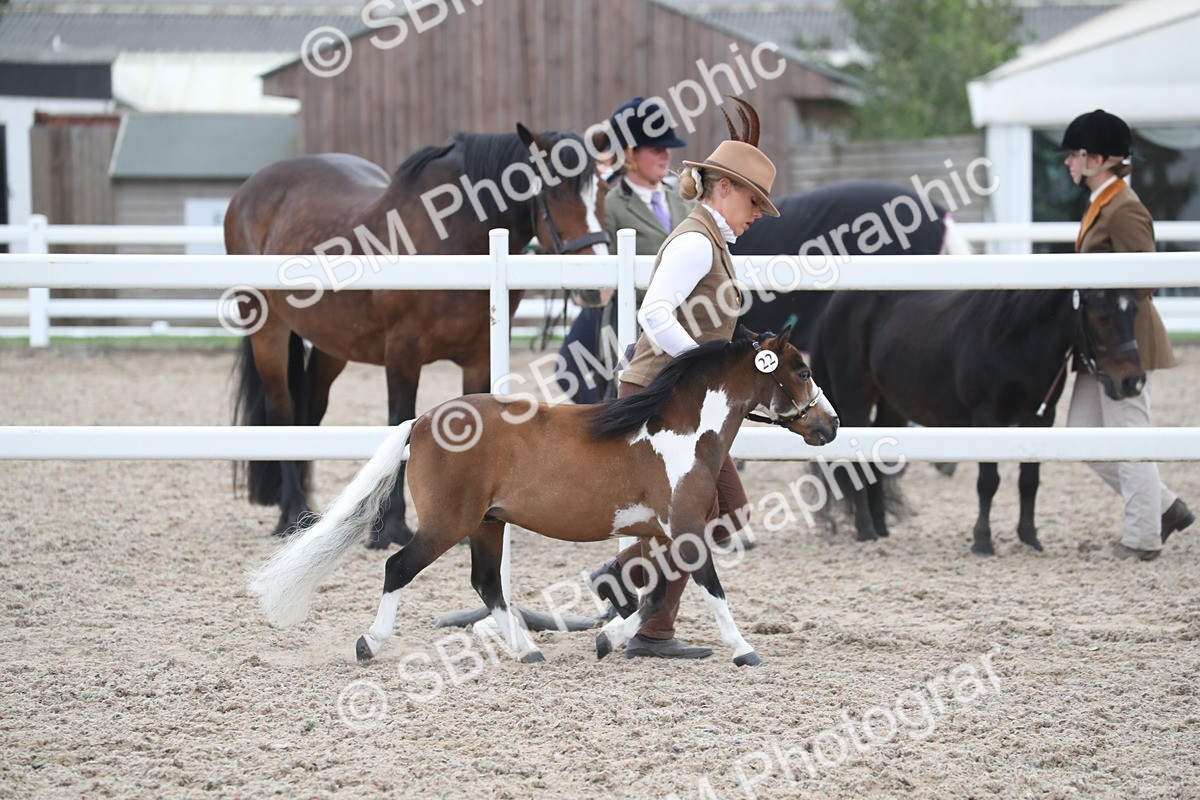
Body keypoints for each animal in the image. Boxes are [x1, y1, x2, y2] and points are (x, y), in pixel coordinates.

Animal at [225, 125, 610, 548]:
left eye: (604, 189)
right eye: (554, 191)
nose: (598, 288)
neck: (455, 238)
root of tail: (249, 190)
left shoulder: (479, 358)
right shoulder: (403, 353)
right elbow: (400, 421)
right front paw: (390, 527)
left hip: (333, 346)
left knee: (310, 412)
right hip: (268, 332)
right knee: (282, 411)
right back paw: (290, 511)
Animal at [248, 325, 839, 666]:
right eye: (803, 369)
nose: (830, 425)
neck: (682, 434)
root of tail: (421, 421)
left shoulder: (663, 535)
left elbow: (652, 594)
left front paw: (607, 639)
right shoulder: (689, 530)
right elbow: (710, 589)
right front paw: (744, 650)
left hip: (488, 524)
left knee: (487, 583)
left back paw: (528, 650)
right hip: (448, 524)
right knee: (399, 567)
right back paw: (370, 644)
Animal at [810, 287, 1146, 555]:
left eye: (1135, 311)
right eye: (1101, 315)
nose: (1133, 381)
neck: (1016, 339)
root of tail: (834, 305)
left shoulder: (1040, 420)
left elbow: (1029, 481)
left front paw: (1030, 537)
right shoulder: (988, 419)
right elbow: (988, 482)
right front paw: (983, 541)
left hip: (891, 406)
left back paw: (881, 527)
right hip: (856, 400)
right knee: (856, 463)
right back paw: (865, 528)